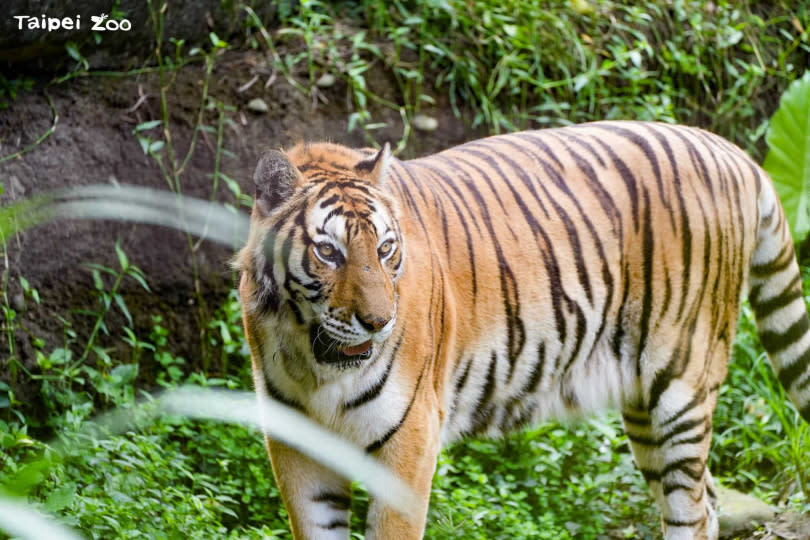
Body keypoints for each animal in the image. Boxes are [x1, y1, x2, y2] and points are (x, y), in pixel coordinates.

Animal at [235, 122, 808, 540]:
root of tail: (730, 150)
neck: (316, 363)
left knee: (692, 509)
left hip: (681, 386)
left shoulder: (409, 439)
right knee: (705, 499)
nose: (377, 322)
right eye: (328, 251)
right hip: (645, 409)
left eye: (385, 249)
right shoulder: (295, 445)